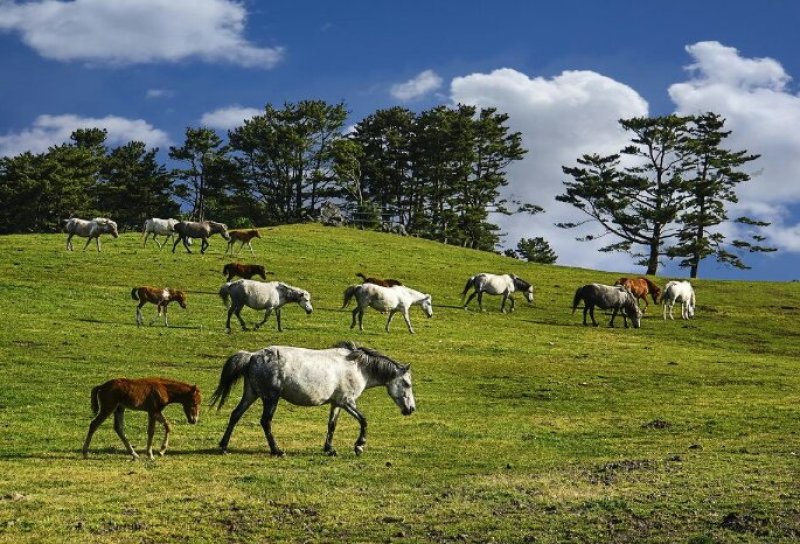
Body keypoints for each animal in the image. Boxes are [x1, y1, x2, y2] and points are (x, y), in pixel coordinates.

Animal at [210, 341, 415, 456]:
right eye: (406, 383)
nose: (411, 409)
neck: (358, 367)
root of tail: (253, 356)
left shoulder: (336, 403)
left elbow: (332, 425)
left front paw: (329, 449)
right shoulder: (347, 402)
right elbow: (364, 421)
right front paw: (359, 446)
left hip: (251, 394)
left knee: (235, 415)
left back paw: (224, 447)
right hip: (271, 398)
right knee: (265, 422)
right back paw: (277, 450)